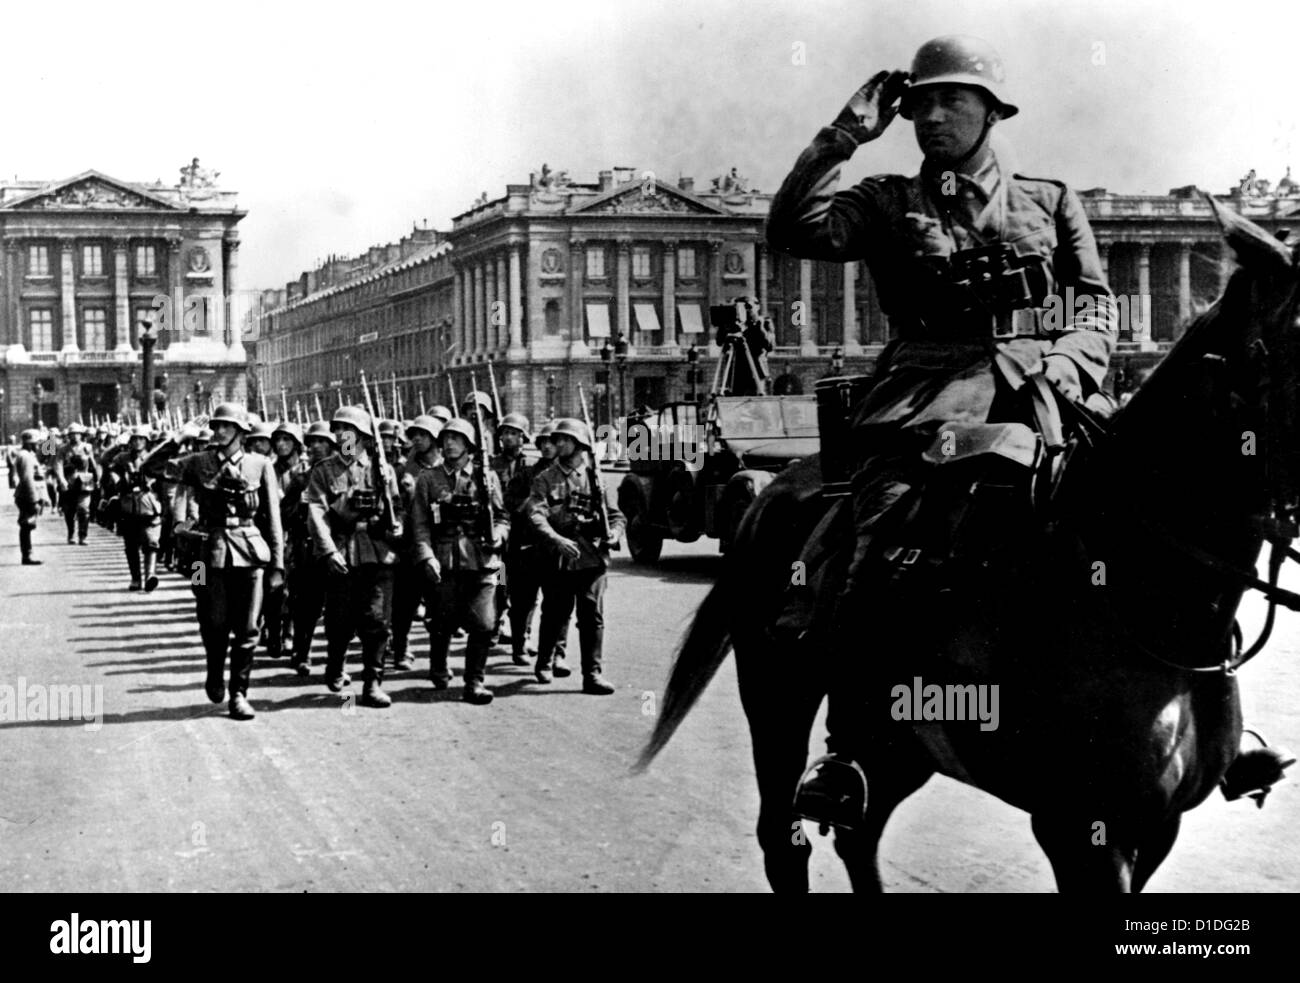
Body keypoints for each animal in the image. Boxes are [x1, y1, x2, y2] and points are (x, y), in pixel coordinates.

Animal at [637, 200, 1300, 889]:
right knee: (784, 838)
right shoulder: (1079, 827)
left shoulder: (1157, 825)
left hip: (896, 729)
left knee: (859, 831)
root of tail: (781, 486)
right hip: (778, 692)